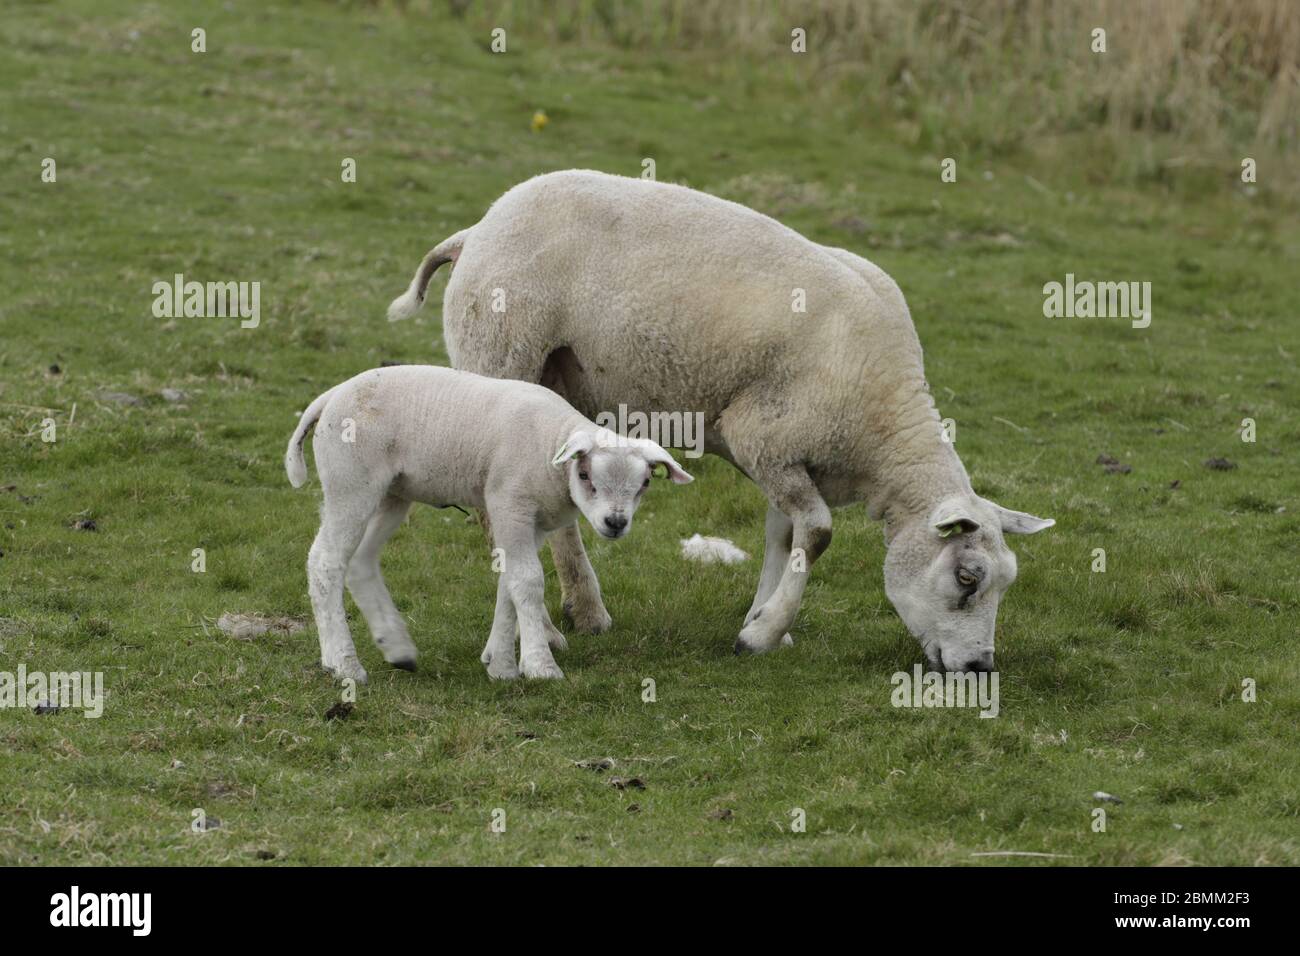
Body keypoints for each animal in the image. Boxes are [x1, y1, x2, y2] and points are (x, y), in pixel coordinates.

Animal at [284, 364, 692, 683]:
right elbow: (528, 580)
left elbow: (508, 584)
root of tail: (331, 395)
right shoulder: (509, 503)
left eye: (645, 483)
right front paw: (539, 665)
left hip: (392, 493)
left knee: (360, 562)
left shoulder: (532, 522)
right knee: (325, 562)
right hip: (351, 482)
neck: (552, 445)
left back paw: (397, 648)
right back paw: (342, 663)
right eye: (586, 475)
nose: (615, 522)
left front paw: (500, 663)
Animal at [388, 169, 1053, 673]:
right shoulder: (764, 439)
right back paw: (548, 632)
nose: (980, 667)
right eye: (967, 578)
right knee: (491, 515)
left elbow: (783, 535)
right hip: (499, 353)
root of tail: (476, 230)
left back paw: (586, 610)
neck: (882, 433)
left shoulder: (794, 459)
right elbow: (817, 533)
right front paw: (763, 633)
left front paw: (763, 619)